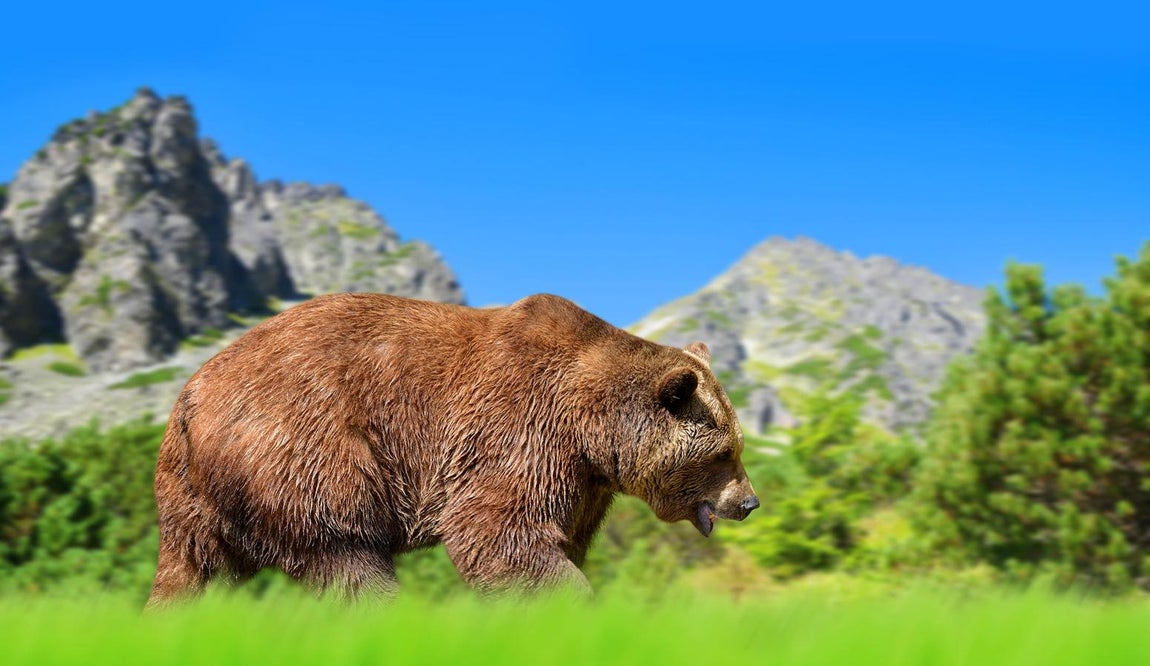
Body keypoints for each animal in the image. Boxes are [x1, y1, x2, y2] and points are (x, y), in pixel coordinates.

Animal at [146, 293, 758, 607]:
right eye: (725, 452)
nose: (749, 502)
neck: (593, 426)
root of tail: (190, 398)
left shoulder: (584, 481)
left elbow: (557, 537)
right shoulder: (518, 428)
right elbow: (497, 531)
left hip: (192, 494)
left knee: (196, 570)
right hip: (303, 443)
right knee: (344, 550)